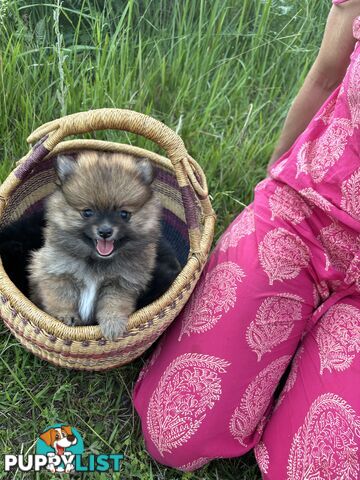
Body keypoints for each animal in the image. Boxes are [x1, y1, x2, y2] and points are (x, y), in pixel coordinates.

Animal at [28, 152, 161, 340]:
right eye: (87, 212)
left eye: (124, 214)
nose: (105, 231)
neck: (96, 261)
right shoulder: (57, 272)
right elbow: (62, 297)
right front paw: (65, 316)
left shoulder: (122, 282)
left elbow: (114, 303)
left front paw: (113, 324)